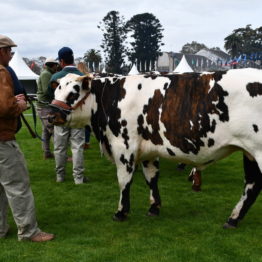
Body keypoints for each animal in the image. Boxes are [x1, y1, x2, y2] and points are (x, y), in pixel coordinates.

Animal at [48, 69, 262, 227]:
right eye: (56, 91)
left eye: (73, 92)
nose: (50, 116)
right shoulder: (147, 150)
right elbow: (151, 177)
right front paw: (154, 208)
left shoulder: (124, 146)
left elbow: (124, 181)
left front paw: (121, 212)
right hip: (249, 152)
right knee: (252, 184)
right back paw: (233, 219)